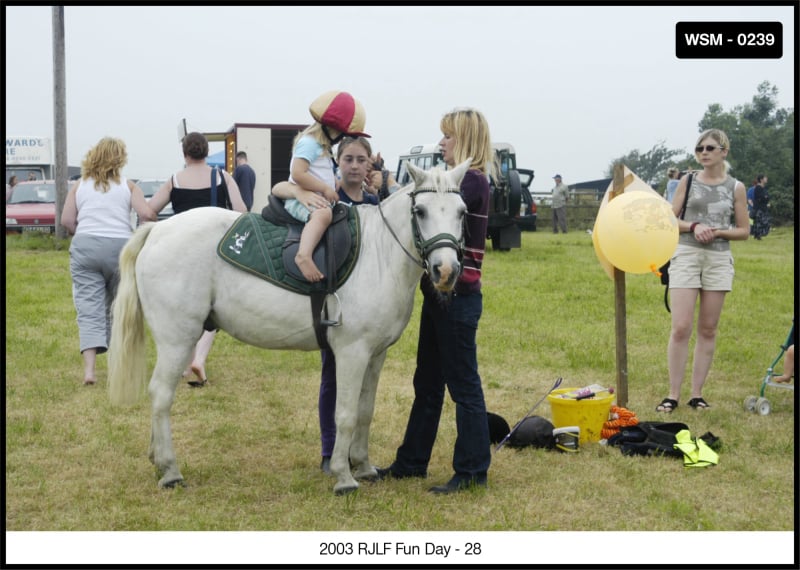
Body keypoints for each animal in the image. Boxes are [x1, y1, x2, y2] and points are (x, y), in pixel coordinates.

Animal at [106, 159, 468, 492]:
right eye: (420, 211)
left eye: (462, 212)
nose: (446, 271)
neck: (378, 255)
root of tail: (157, 230)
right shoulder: (352, 352)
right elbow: (345, 413)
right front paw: (344, 476)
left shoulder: (375, 355)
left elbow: (365, 410)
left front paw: (364, 467)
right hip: (178, 340)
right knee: (161, 394)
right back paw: (170, 470)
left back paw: (157, 460)